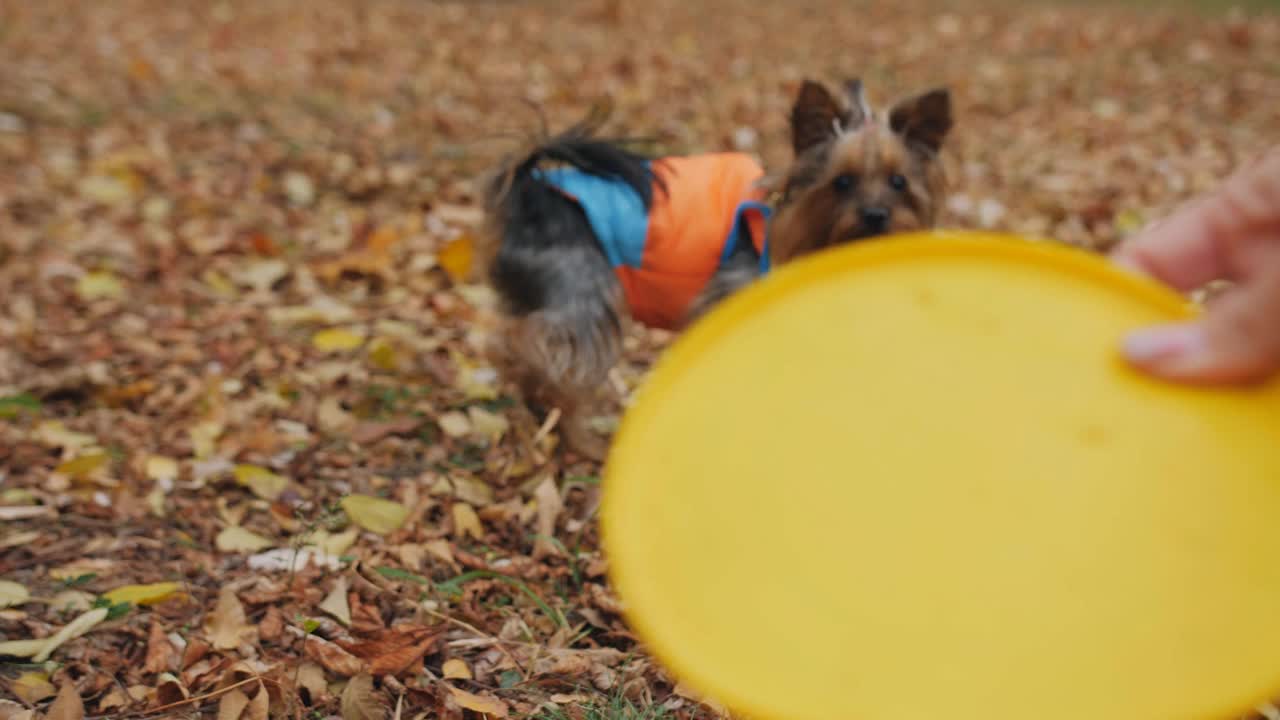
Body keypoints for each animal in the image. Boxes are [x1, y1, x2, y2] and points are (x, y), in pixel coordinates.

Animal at [478, 78, 952, 456]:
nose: (876, 215)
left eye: (899, 182)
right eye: (842, 182)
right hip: (583, 289)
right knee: (539, 348)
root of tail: (530, 190)